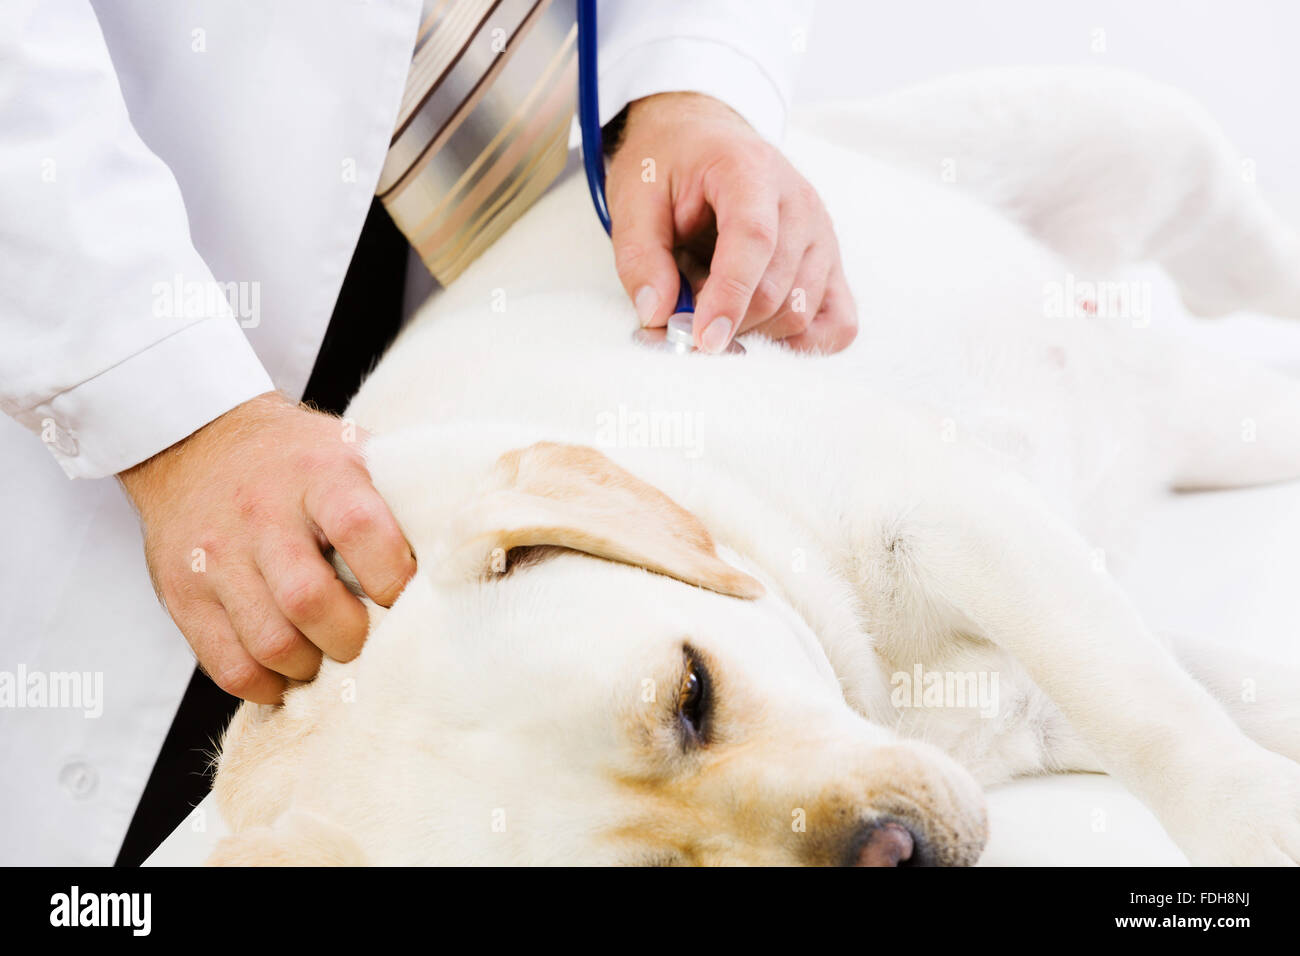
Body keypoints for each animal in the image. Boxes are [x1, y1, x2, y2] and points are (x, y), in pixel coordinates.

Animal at [205, 69, 1300, 868]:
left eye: (692, 692)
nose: (889, 853)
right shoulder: (1031, 697)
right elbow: (1214, 694)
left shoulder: (953, 514)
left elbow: (1154, 717)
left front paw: (1259, 824)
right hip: (1211, 413)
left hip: (1152, 150)